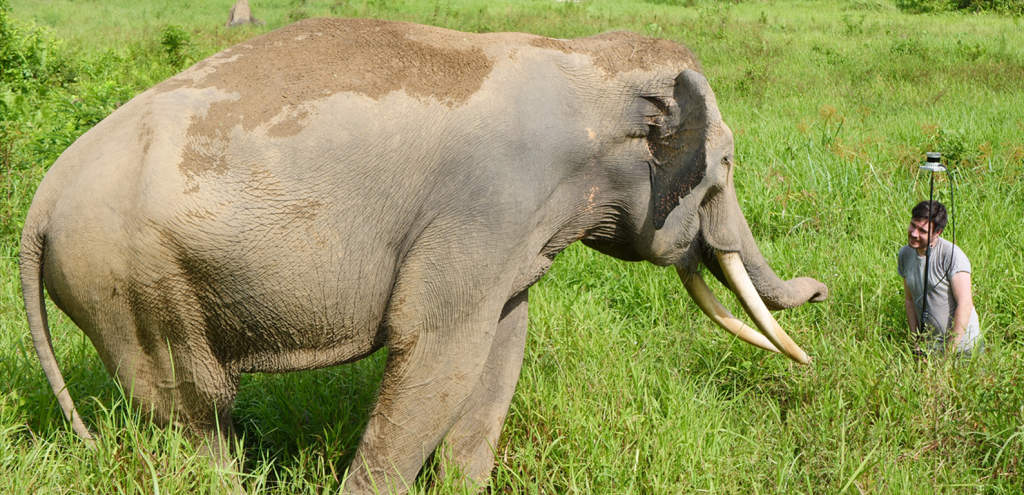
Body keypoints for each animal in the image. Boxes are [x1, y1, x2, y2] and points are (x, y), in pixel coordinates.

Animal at [19, 17, 827, 495]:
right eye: (723, 168)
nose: (821, 291)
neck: (583, 61)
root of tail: (39, 206)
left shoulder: (511, 235)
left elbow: (501, 344)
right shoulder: (487, 204)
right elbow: (440, 348)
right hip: (133, 281)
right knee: (194, 407)